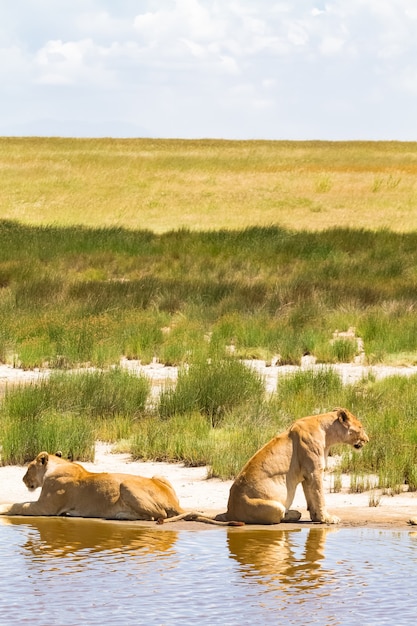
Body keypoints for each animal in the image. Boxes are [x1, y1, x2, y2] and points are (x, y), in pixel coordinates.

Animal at [214, 404, 370, 520]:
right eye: (361, 427)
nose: (367, 440)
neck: (328, 435)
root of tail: (230, 511)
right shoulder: (314, 472)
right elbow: (320, 495)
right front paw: (327, 519)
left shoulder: (307, 475)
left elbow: (311, 497)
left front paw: (316, 518)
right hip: (275, 506)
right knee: (279, 515)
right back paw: (294, 514)